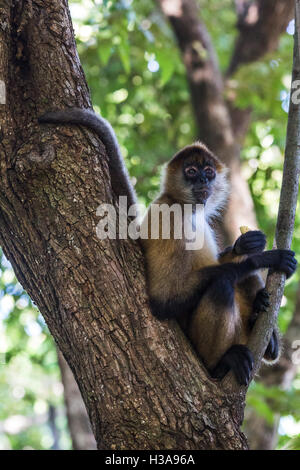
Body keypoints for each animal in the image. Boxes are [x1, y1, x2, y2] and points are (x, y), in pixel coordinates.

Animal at [39, 107, 298, 386]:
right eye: (191, 171)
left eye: (209, 171)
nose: (203, 180)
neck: (184, 205)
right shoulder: (168, 218)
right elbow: (163, 301)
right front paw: (262, 259)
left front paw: (246, 244)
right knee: (222, 285)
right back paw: (221, 364)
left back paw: (266, 334)